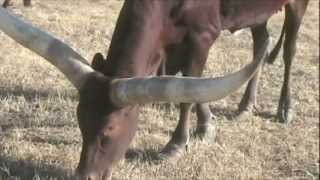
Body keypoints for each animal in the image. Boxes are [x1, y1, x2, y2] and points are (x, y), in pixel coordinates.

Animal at [0, 0, 306, 180]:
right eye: (80, 124)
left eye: (108, 133)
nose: (85, 177)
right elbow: (190, 84)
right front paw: (207, 125)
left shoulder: (202, 35)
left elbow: (190, 87)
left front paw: (178, 143)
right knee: (262, 42)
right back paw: (245, 106)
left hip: (297, 5)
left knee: (290, 49)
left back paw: (286, 108)